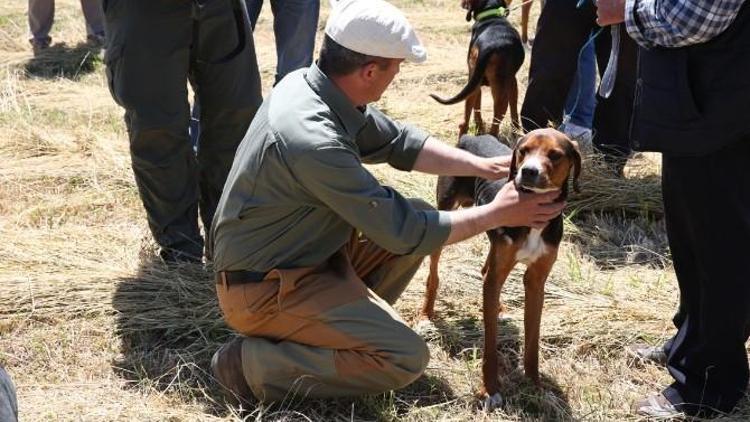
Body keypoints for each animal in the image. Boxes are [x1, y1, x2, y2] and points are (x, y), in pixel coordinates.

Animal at [420, 128, 584, 408]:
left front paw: (534, 384)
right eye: (524, 151)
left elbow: (532, 341)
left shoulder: (536, 281)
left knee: (485, 269)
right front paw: (490, 389)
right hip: (445, 213)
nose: (528, 171)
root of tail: (470, 136)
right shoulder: (496, 278)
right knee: (434, 273)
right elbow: (490, 344)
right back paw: (426, 314)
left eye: (555, 155)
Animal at [432, 0, 524, 138]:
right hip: (500, 91)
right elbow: (514, 109)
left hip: (472, 84)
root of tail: (487, 46)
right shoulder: (513, 82)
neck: (490, 14)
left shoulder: (476, 83)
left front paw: (479, 129)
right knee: (496, 122)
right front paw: (516, 131)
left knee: (464, 123)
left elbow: (477, 110)